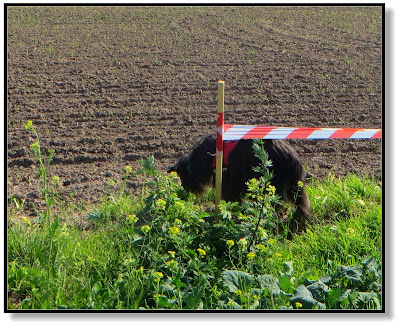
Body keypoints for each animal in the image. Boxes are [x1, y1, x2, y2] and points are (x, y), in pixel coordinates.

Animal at [167, 135, 310, 233]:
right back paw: (300, 222)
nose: (185, 189)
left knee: (278, 205)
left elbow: (229, 198)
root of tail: (293, 158)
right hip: (296, 185)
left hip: (274, 185)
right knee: (301, 204)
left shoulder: (228, 181)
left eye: (181, 176)